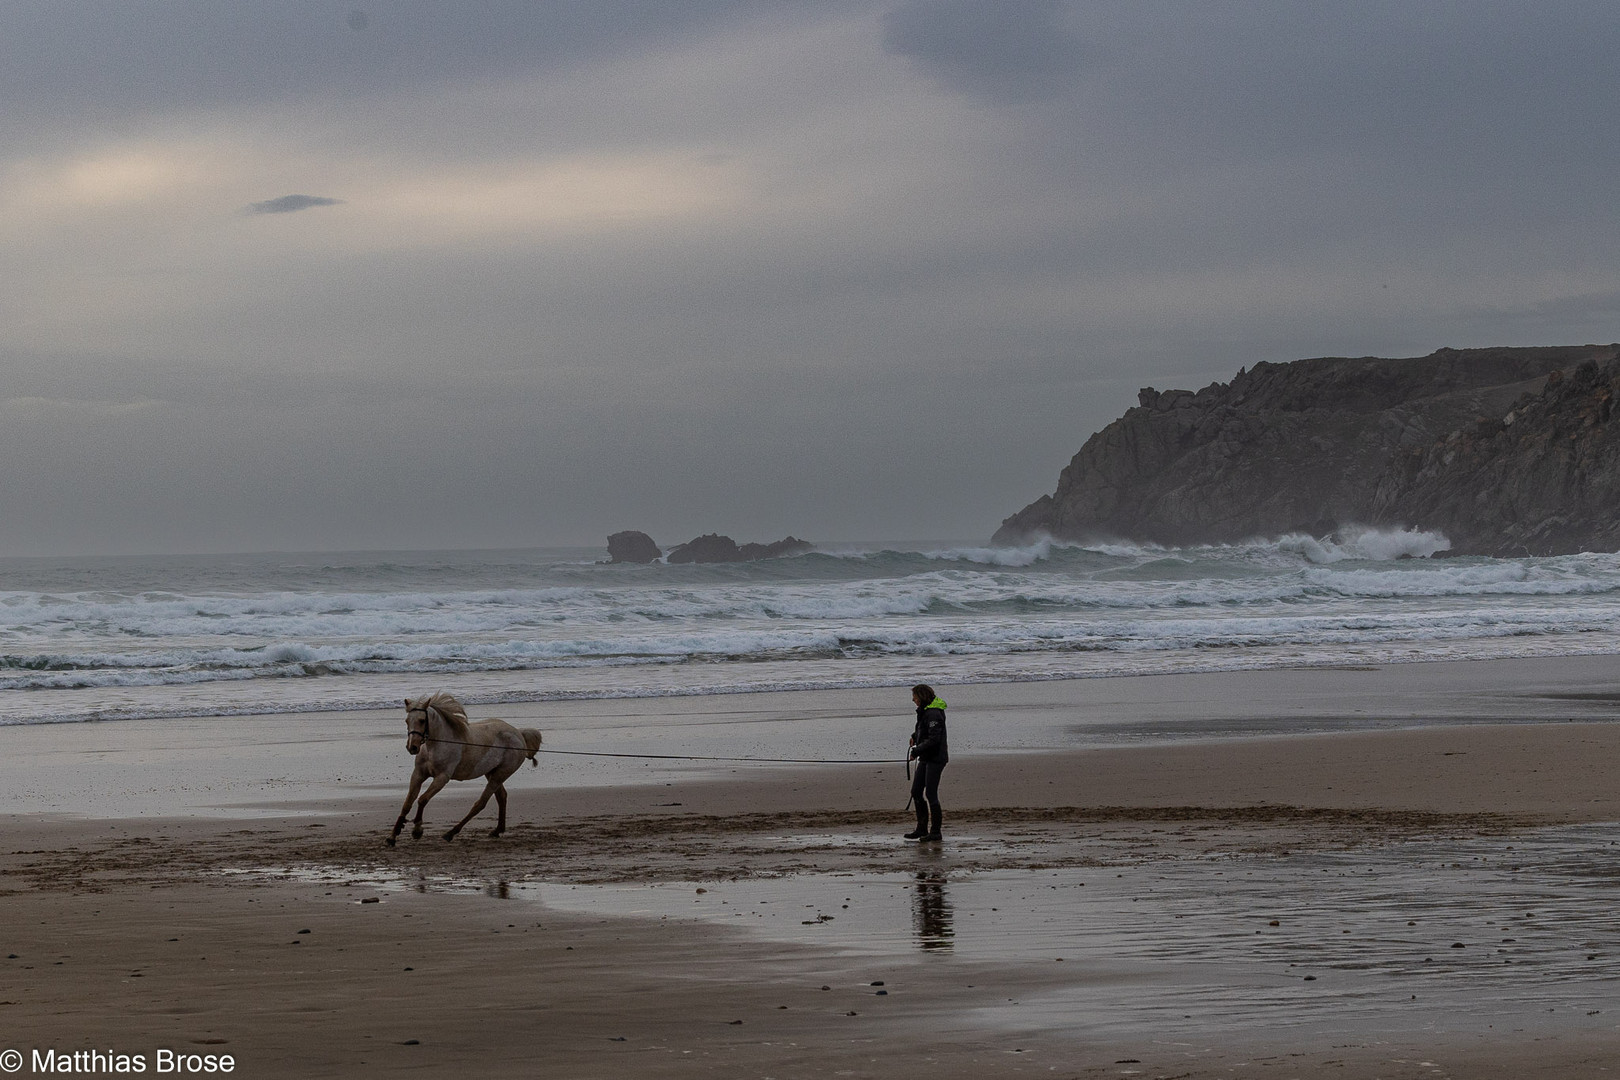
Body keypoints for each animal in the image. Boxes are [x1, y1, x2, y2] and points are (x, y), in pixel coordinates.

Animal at [385, 693, 544, 841]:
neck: (437, 745)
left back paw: (451, 833)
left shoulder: (442, 778)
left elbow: (422, 799)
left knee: (480, 803)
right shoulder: (418, 774)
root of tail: (519, 734)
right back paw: (497, 830)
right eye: (407, 721)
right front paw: (393, 836)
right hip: (491, 773)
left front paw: (417, 830)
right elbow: (407, 803)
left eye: (422, 720)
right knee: (502, 797)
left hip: (500, 775)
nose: (412, 747)